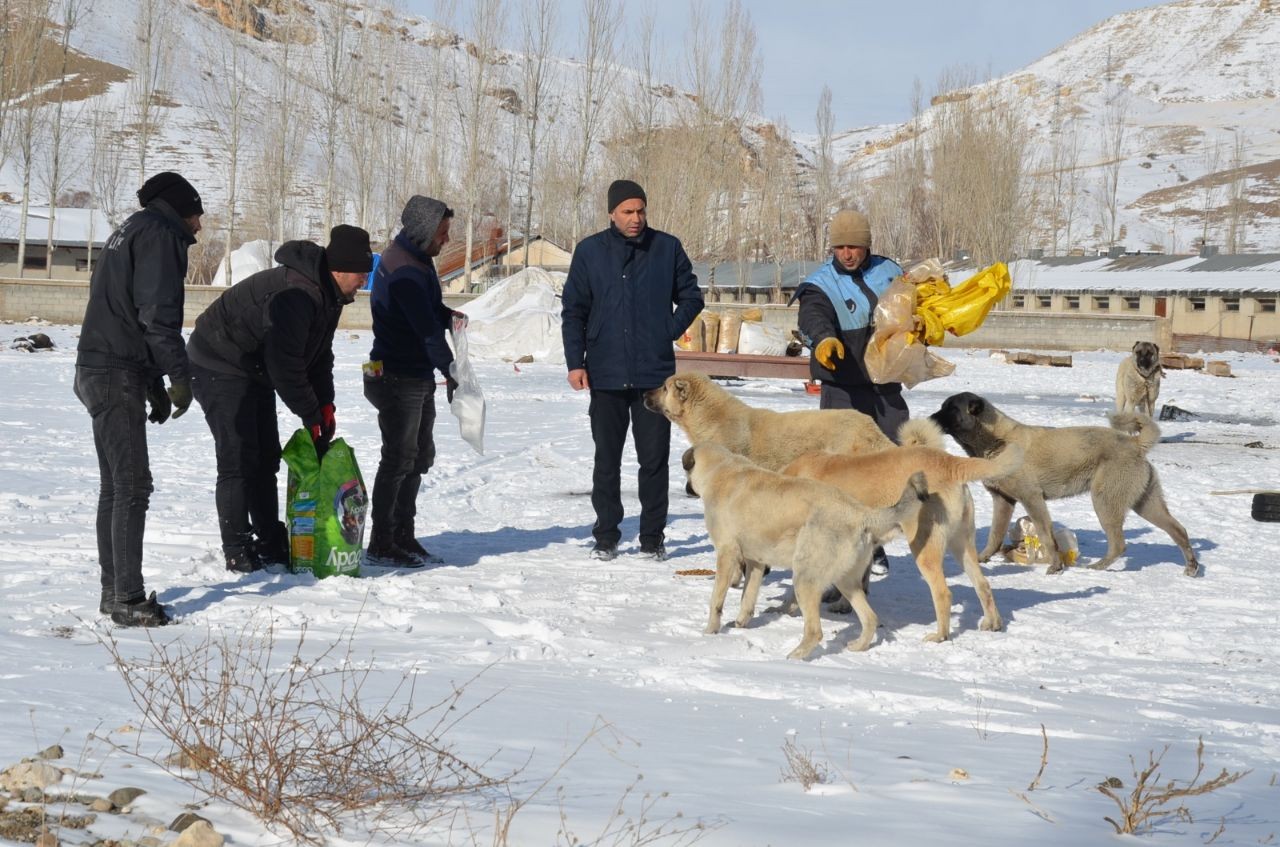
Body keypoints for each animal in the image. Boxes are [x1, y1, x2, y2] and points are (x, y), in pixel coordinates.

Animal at [686, 445, 926, 665]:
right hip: (846, 581)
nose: (687, 490)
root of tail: (860, 513)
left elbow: (716, 600)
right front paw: (741, 623)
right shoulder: (755, 562)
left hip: (805, 578)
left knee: (815, 631)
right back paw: (858, 646)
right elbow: (748, 598)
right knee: (870, 618)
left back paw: (795, 656)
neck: (722, 469)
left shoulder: (727, 554)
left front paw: (710, 631)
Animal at [778, 417, 1018, 644]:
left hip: (924, 548)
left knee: (943, 593)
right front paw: (843, 605)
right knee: (983, 584)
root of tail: (949, 462)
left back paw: (940, 635)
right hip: (962, 544)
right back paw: (992, 623)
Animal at [931, 394, 1198, 580]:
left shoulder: (1032, 498)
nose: (929, 419)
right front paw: (983, 558)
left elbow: (1046, 536)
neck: (997, 440)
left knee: (1119, 544)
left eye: (950, 408)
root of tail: (1135, 443)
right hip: (1146, 503)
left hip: (1104, 501)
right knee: (1179, 530)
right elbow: (995, 535)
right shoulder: (1003, 501)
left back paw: (1097, 567)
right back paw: (1191, 566)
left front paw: (1055, 566)